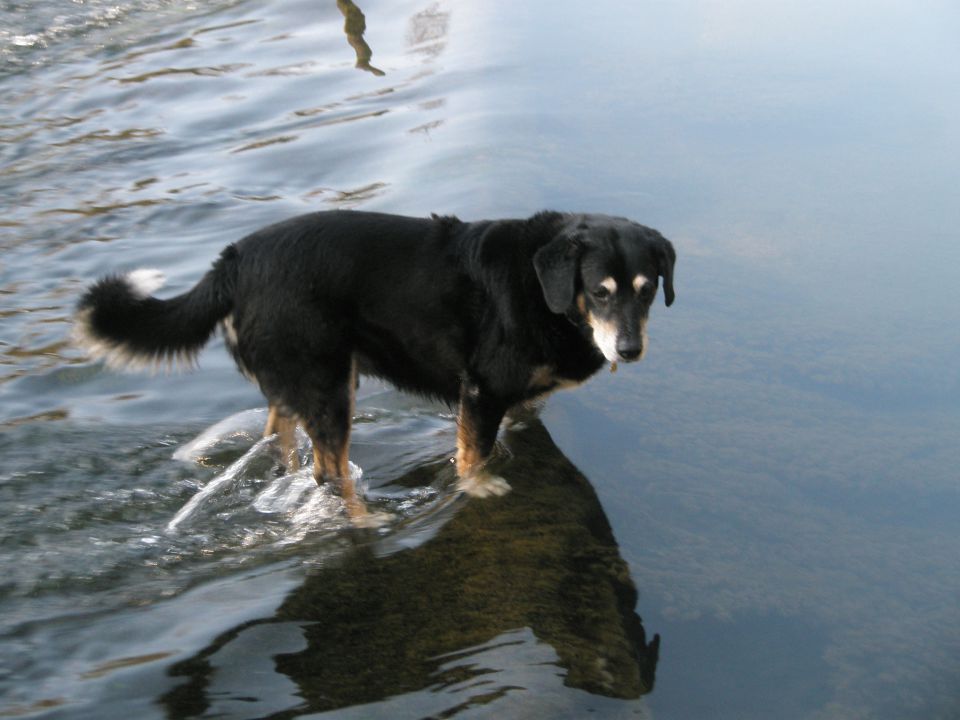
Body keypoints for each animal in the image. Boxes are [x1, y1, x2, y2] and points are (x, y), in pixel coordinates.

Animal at [75, 211, 676, 520]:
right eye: (599, 292)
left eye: (647, 291)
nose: (629, 350)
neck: (540, 286)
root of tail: (234, 261)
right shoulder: (481, 390)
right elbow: (472, 455)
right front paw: (478, 488)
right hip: (332, 385)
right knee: (329, 472)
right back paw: (372, 518)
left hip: (304, 380)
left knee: (281, 438)